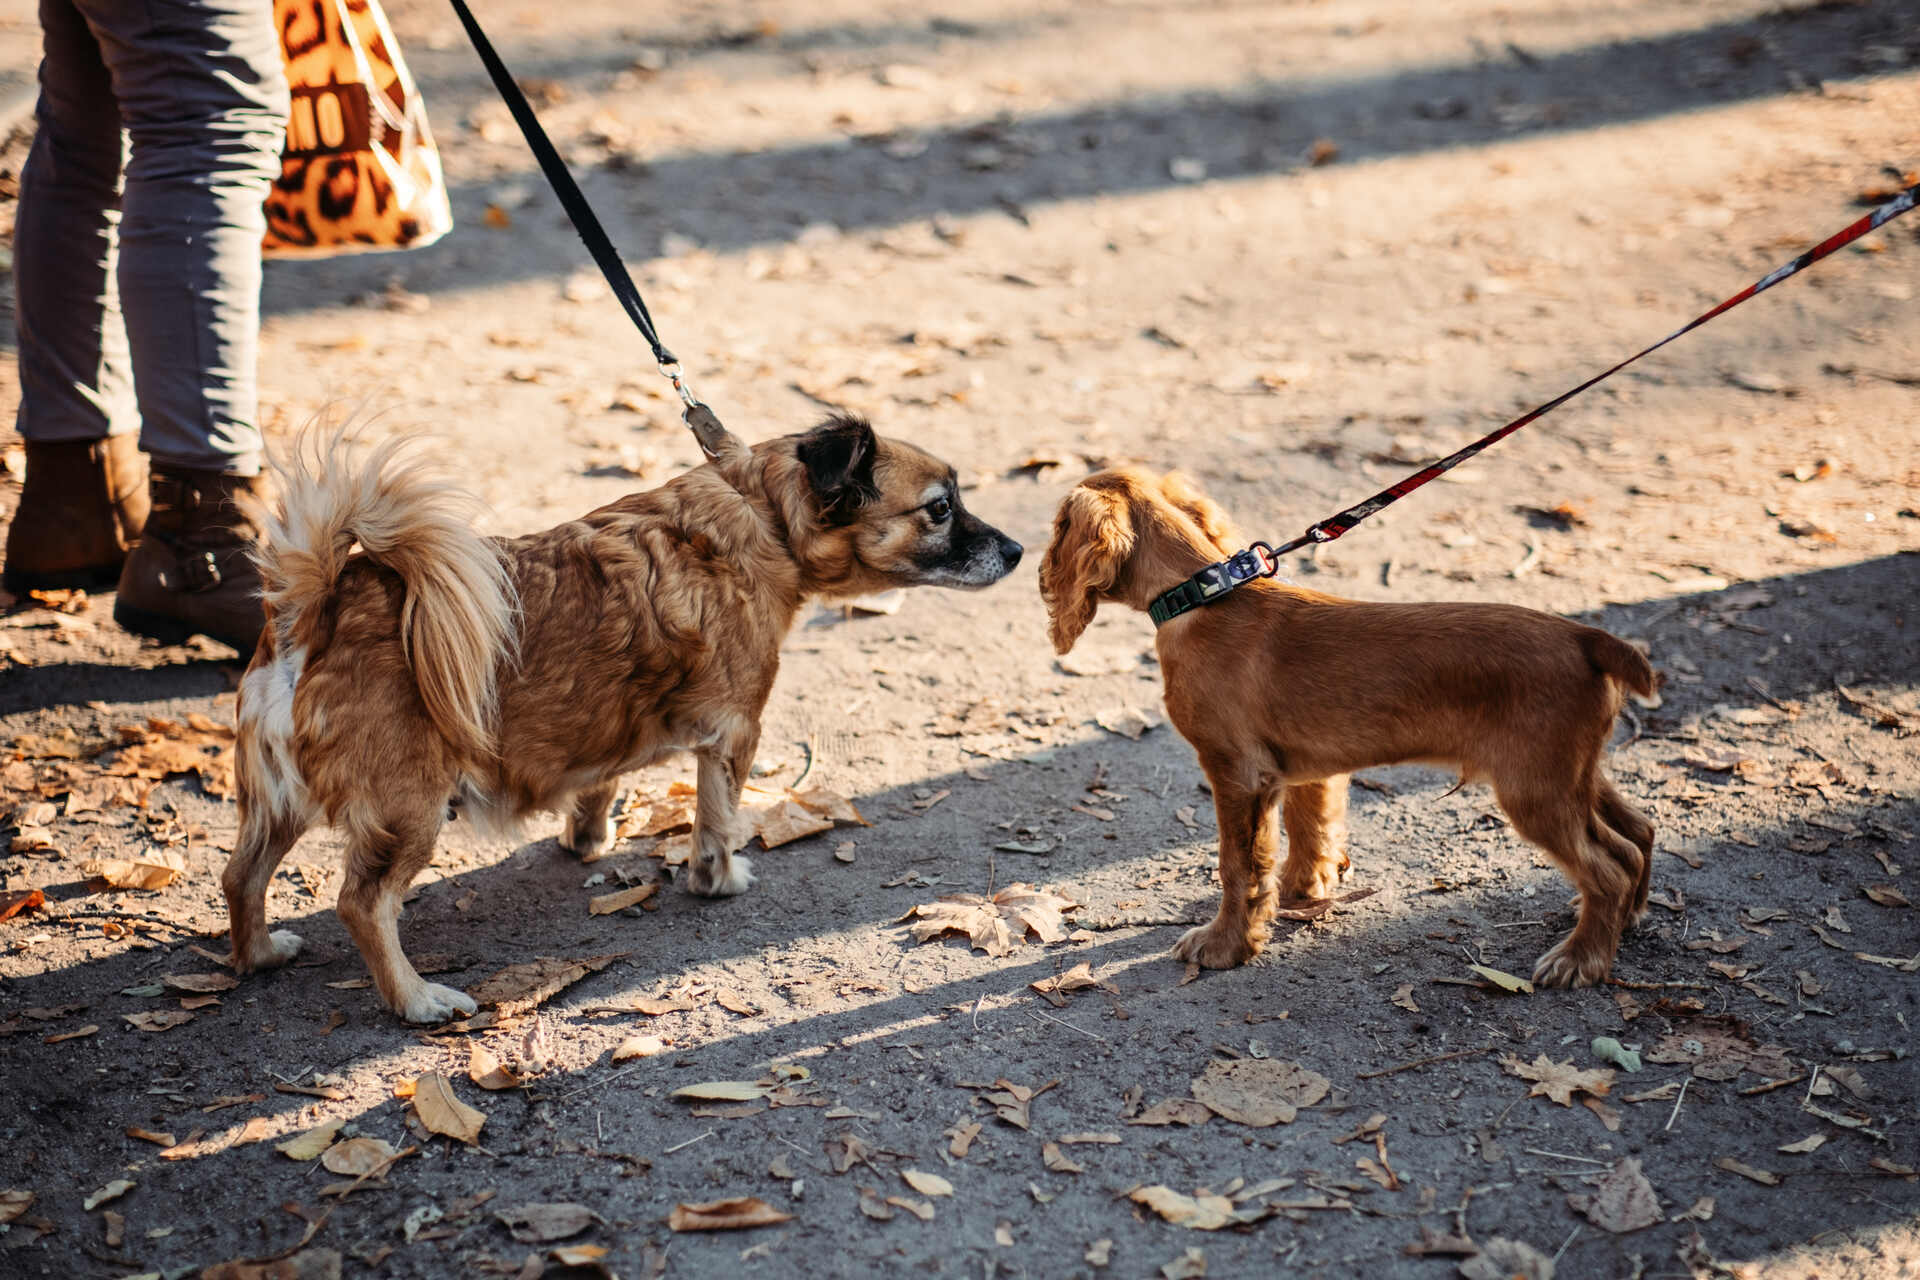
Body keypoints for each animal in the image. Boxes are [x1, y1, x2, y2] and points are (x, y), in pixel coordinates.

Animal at [224, 418, 1021, 1020]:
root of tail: (316, 609)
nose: (1017, 548)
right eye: (940, 508)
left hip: (275, 804)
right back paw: (416, 999)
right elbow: (716, 822)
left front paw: (588, 839)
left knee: (241, 877)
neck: (762, 514)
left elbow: (595, 784)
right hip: (407, 812)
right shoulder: (735, 735)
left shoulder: (598, 727)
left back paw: (258, 954)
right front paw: (718, 879)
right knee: (362, 905)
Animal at [1044, 470, 1658, 990]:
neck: (1203, 592)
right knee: (1636, 836)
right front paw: (1299, 892)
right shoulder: (1301, 769)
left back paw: (1580, 959)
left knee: (1608, 867)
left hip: (1534, 790)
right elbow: (1308, 830)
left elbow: (1237, 867)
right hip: (1569, 774)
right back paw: (1623, 921)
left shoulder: (1236, 773)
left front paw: (1226, 945)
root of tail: (1584, 637)